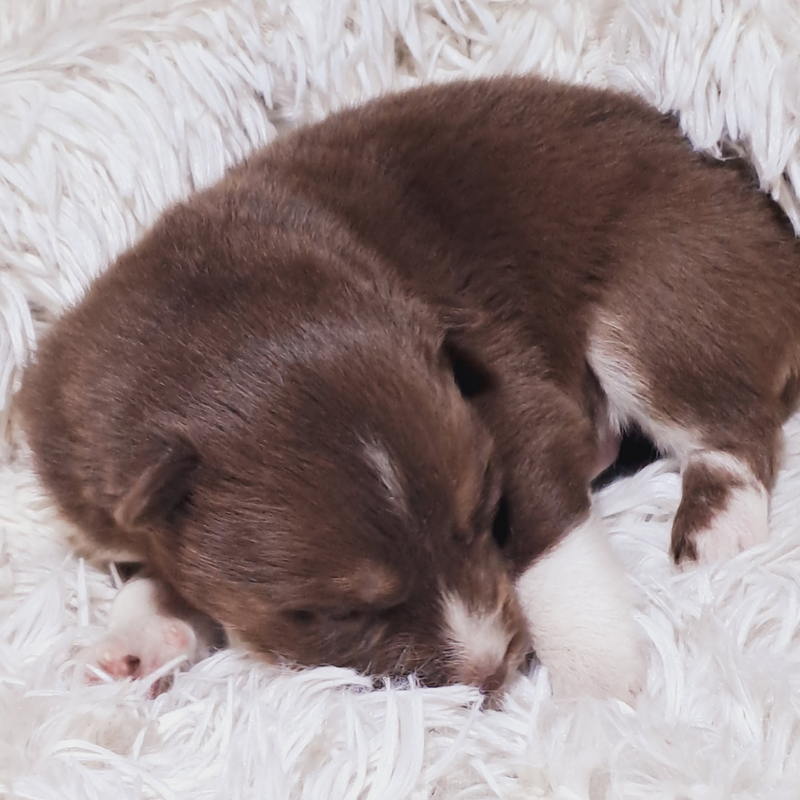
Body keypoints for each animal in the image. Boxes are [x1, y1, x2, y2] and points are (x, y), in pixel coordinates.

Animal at [17, 76, 800, 700]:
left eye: (489, 518)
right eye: (342, 613)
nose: (491, 669)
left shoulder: (511, 395)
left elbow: (552, 546)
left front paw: (597, 688)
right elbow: (154, 574)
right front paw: (132, 645)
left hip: (662, 285)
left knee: (729, 423)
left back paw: (716, 528)